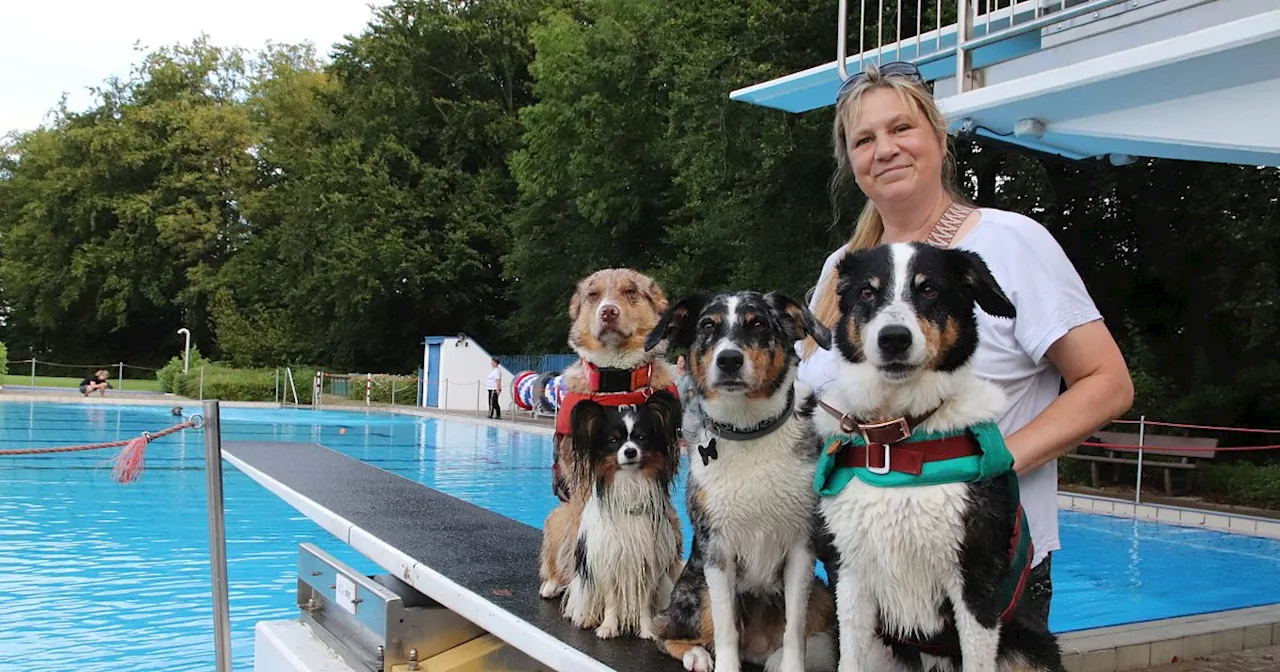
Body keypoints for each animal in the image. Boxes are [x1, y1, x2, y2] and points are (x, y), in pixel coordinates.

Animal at [537, 266, 686, 611]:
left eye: (630, 292)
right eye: (593, 294)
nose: (608, 312)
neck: (617, 380)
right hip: (557, 518)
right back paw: (554, 583)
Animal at [640, 290, 839, 670]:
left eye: (758, 323)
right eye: (707, 325)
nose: (729, 359)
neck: (749, 430)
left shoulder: (801, 548)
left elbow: (795, 630)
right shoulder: (717, 552)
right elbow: (726, 628)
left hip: (821, 594)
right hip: (697, 588)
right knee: (665, 632)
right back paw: (695, 654)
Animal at [808, 240, 1070, 670]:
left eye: (929, 289)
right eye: (867, 292)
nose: (893, 339)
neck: (898, 437)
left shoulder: (975, 583)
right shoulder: (850, 576)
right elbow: (849, 656)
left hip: (1030, 648)